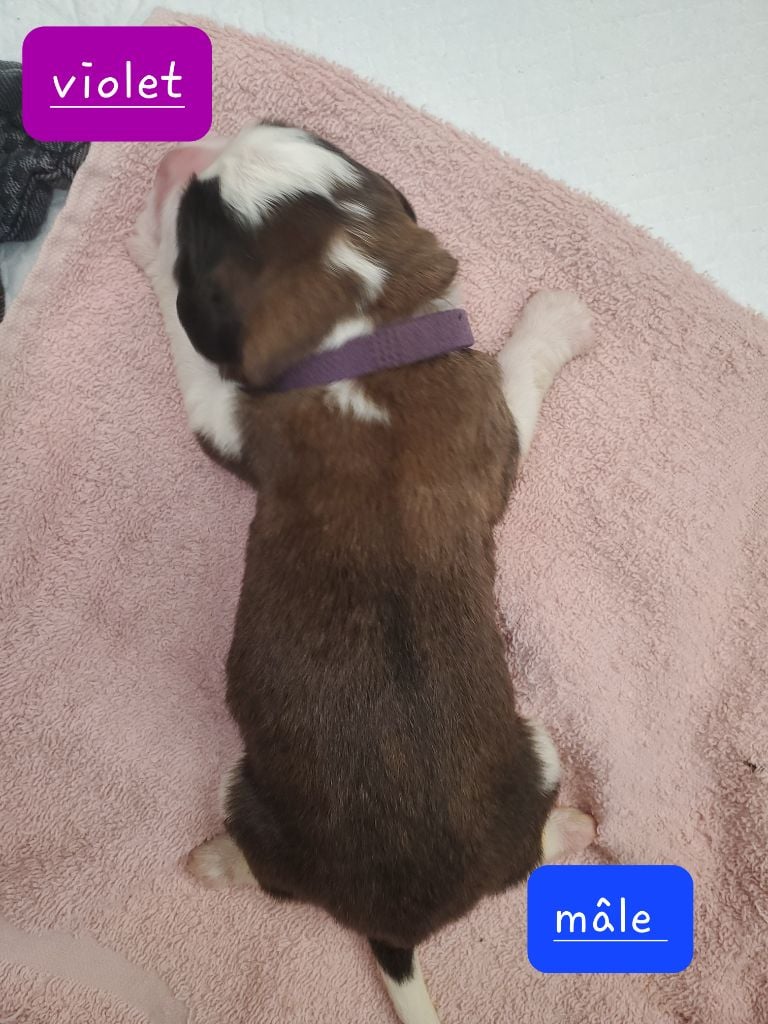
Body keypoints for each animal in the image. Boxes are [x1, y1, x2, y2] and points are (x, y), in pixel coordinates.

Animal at [131, 123, 596, 1024]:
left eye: (202, 228)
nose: (180, 151)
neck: (359, 340)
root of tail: (396, 926)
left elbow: (189, 350)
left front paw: (145, 237)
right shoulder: (480, 415)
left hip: (259, 785)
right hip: (531, 754)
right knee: (523, 856)